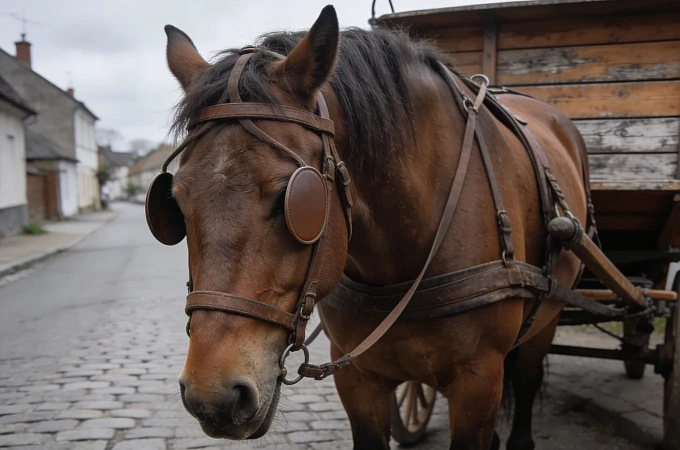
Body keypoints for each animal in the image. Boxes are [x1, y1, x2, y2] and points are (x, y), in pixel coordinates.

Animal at [153, 6, 589, 449]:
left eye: (289, 200)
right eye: (175, 205)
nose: (213, 398)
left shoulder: (479, 381)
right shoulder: (357, 380)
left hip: (546, 318)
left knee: (528, 378)